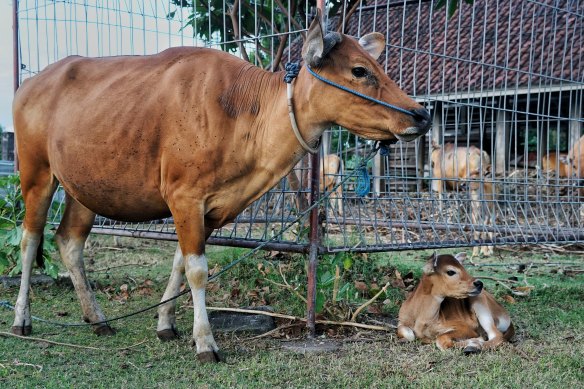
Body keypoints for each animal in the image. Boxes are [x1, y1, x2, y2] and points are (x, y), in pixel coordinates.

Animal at [9, 13, 428, 362]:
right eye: (359, 70)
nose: (421, 114)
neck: (242, 111)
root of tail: (29, 84)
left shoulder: (209, 207)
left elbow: (180, 262)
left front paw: (166, 323)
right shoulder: (184, 196)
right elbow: (197, 270)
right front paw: (205, 342)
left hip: (85, 187)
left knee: (69, 241)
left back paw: (96, 318)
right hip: (37, 173)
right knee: (30, 240)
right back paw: (21, 319)